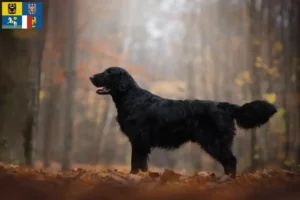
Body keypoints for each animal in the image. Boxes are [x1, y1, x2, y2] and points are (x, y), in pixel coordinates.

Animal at [89, 66, 276, 177]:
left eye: (108, 72)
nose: (90, 77)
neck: (132, 98)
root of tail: (224, 105)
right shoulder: (139, 141)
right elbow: (140, 163)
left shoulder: (140, 140)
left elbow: (136, 162)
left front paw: (135, 177)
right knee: (228, 161)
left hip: (213, 141)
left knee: (231, 160)